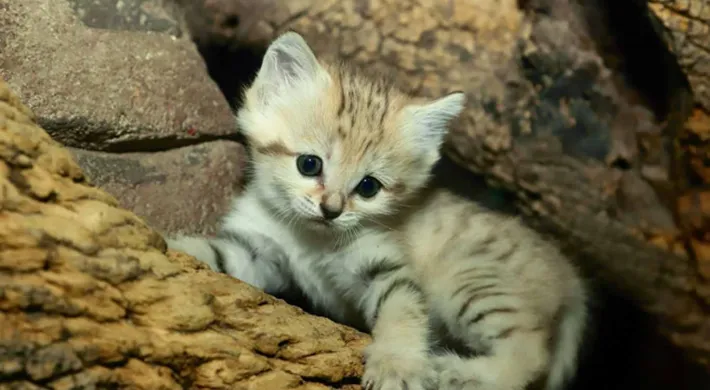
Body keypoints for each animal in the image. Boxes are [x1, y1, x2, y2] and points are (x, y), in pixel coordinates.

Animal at [168, 32, 588, 390]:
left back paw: (461, 372)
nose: (331, 209)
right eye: (309, 164)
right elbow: (215, 255)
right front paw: (172, 247)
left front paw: (396, 364)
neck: (312, 239)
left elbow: (401, 312)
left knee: (530, 354)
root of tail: (571, 278)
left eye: (368, 187)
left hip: (472, 282)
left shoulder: (385, 265)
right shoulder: (258, 252)